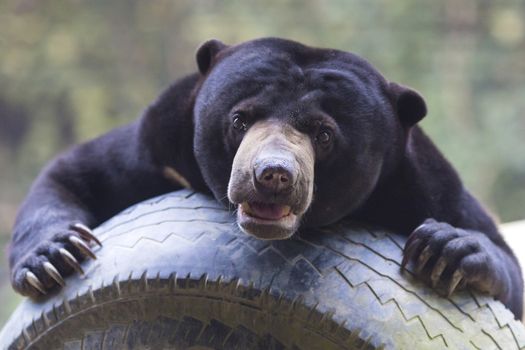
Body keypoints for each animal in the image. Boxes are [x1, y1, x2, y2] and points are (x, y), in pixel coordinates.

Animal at [7, 39, 520, 320]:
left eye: (323, 134)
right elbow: (78, 172)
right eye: (240, 119)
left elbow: (502, 261)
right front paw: (53, 258)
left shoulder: (422, 183)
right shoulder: (158, 145)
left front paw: (445, 250)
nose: (272, 175)